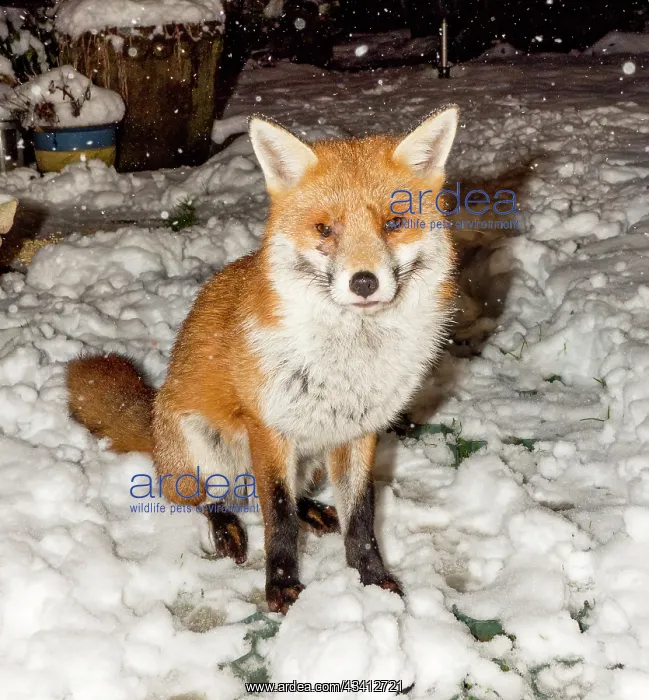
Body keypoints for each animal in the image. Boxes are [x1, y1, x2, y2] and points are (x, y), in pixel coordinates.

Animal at [66, 106, 459, 614]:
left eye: (394, 223)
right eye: (324, 229)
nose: (364, 282)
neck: (351, 358)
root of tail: (153, 426)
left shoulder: (358, 432)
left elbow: (361, 516)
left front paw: (373, 580)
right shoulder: (268, 428)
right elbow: (278, 515)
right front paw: (283, 588)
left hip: (311, 460)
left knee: (282, 497)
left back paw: (315, 511)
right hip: (199, 453)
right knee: (211, 500)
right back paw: (226, 528)